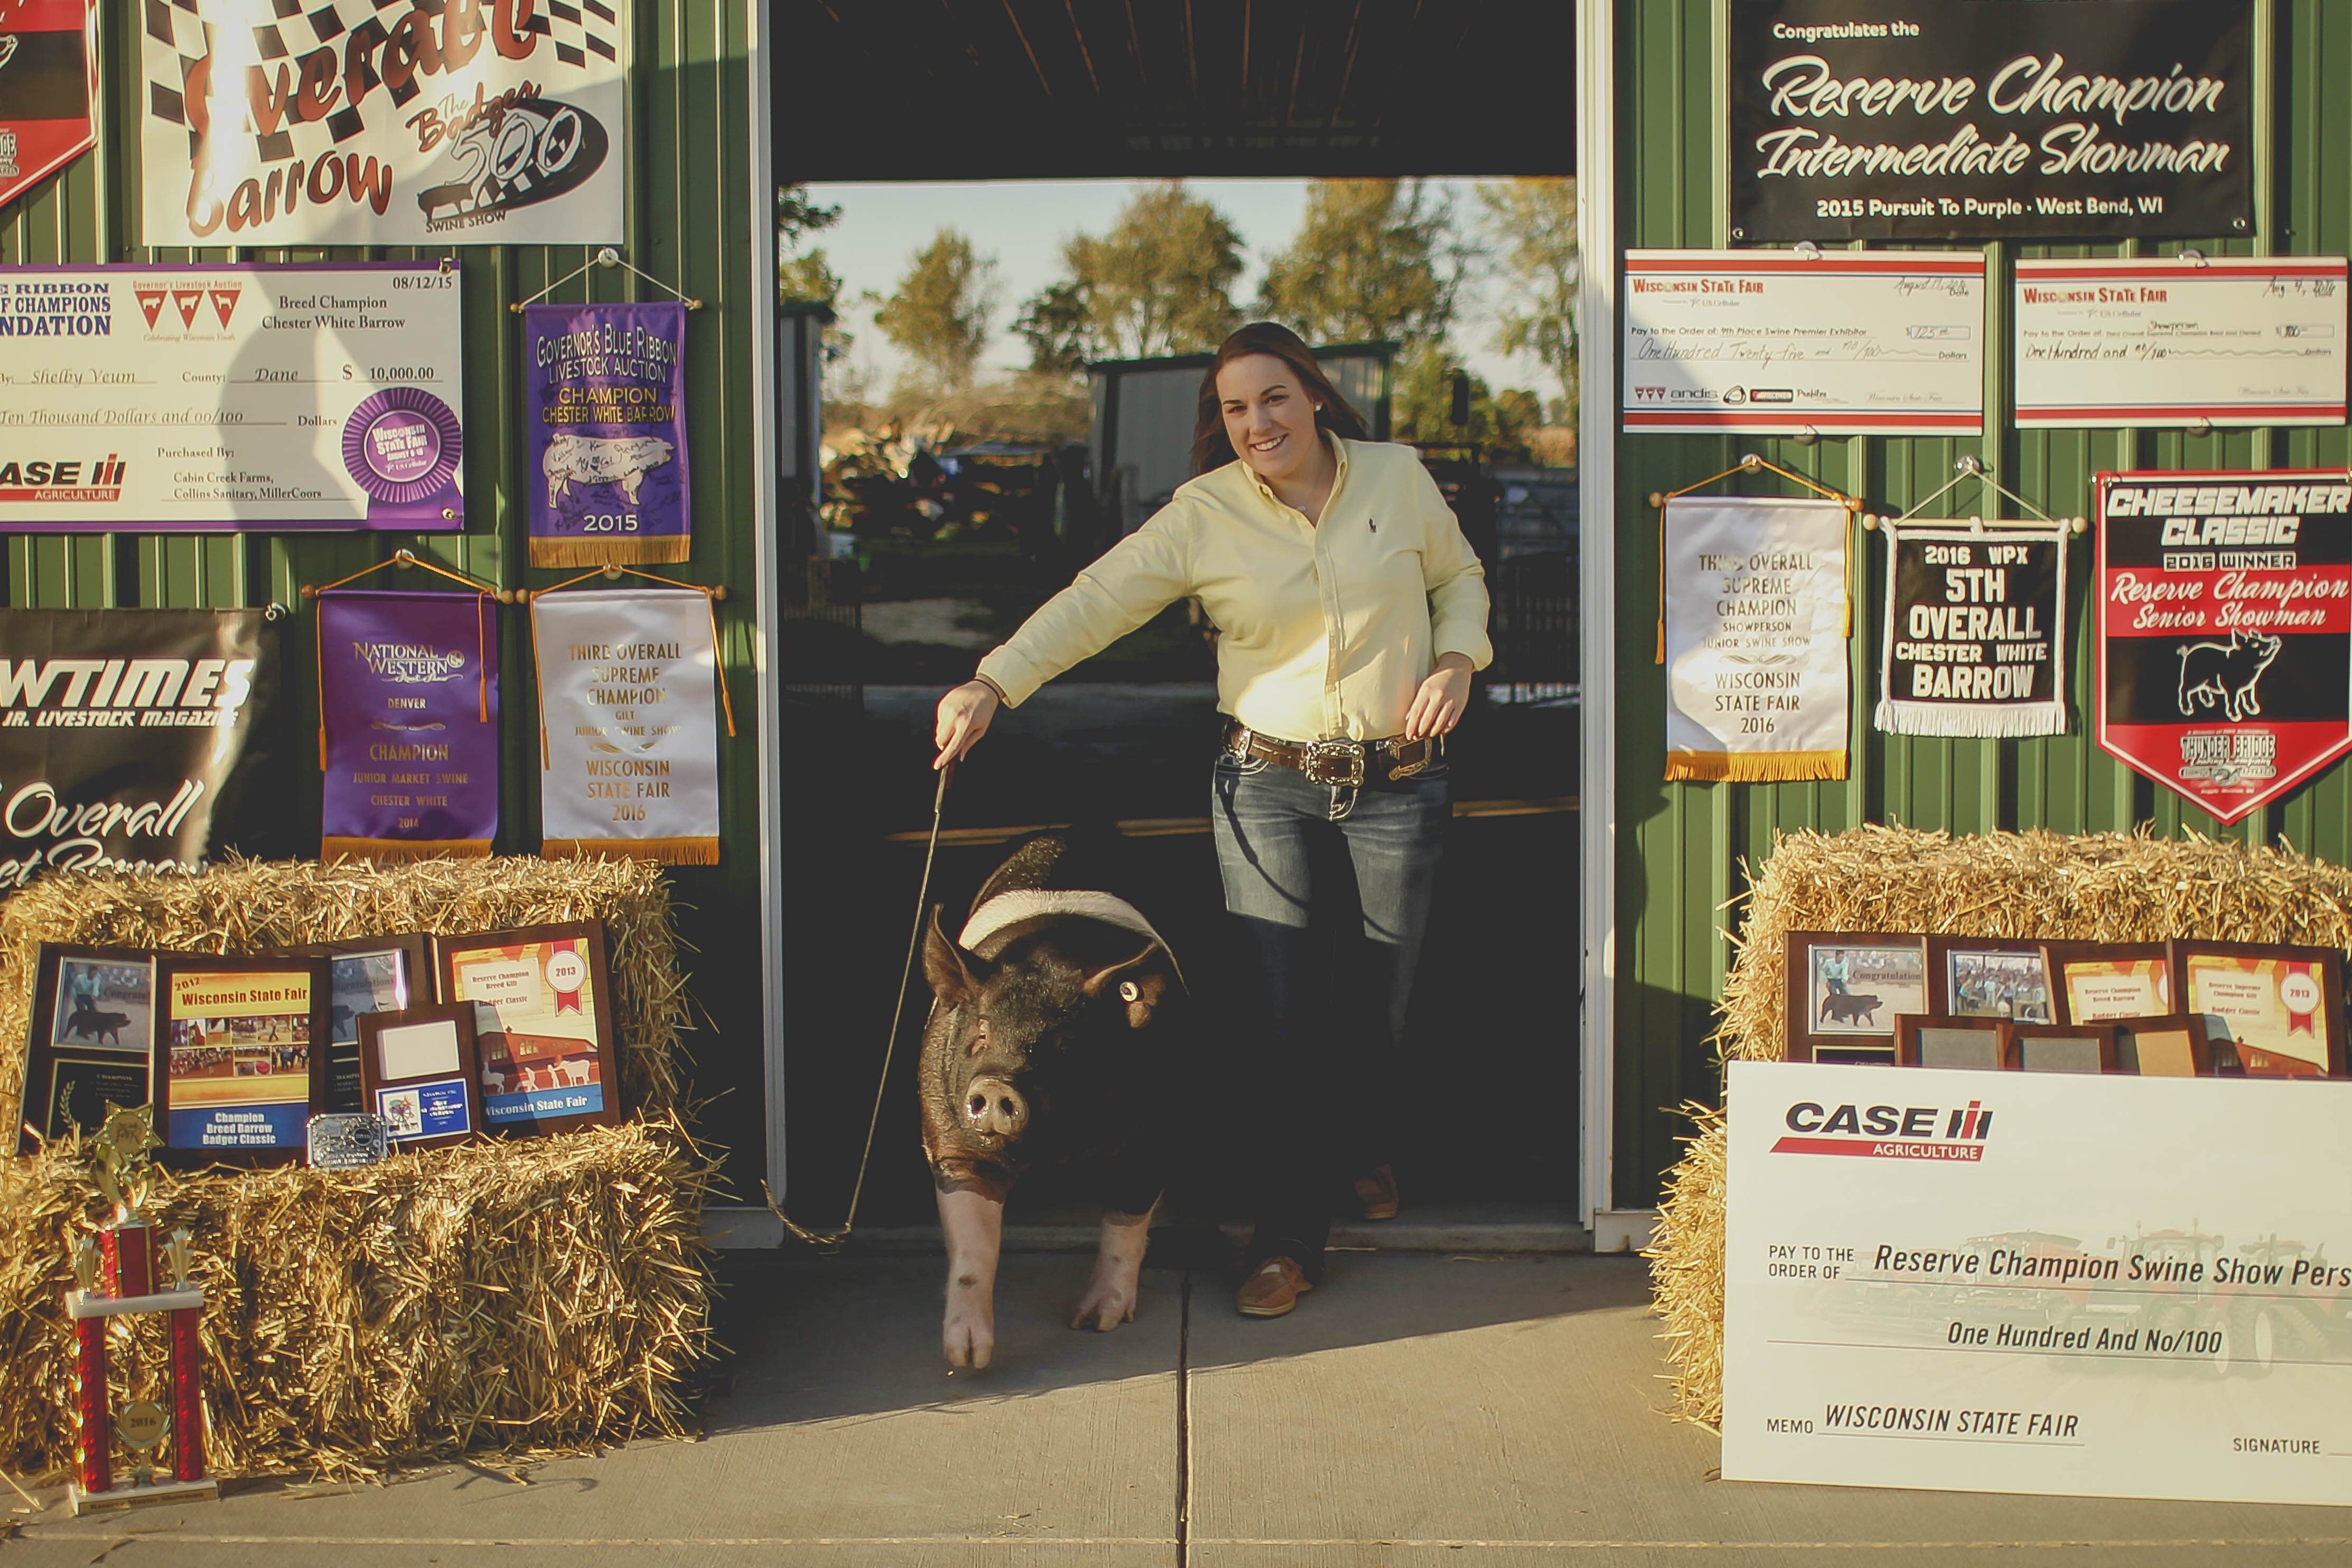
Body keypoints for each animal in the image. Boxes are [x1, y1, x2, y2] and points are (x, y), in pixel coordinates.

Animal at [553, 432, 686, 505]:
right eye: (664, 450)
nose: (673, 447)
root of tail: (558, 439)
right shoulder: (637, 474)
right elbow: (633, 490)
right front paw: (637, 503)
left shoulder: (627, 475)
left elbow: (625, 486)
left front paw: (626, 493)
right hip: (557, 475)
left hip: (566, 474)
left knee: (565, 484)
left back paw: (569, 495)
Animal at [912, 832, 1185, 1373]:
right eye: (980, 1033)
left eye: (1066, 1042)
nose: (998, 1085)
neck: (1056, 1150)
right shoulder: (952, 1144)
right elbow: (974, 1251)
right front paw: (967, 1360)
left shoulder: (1156, 1136)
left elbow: (1124, 1224)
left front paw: (1095, 1324)